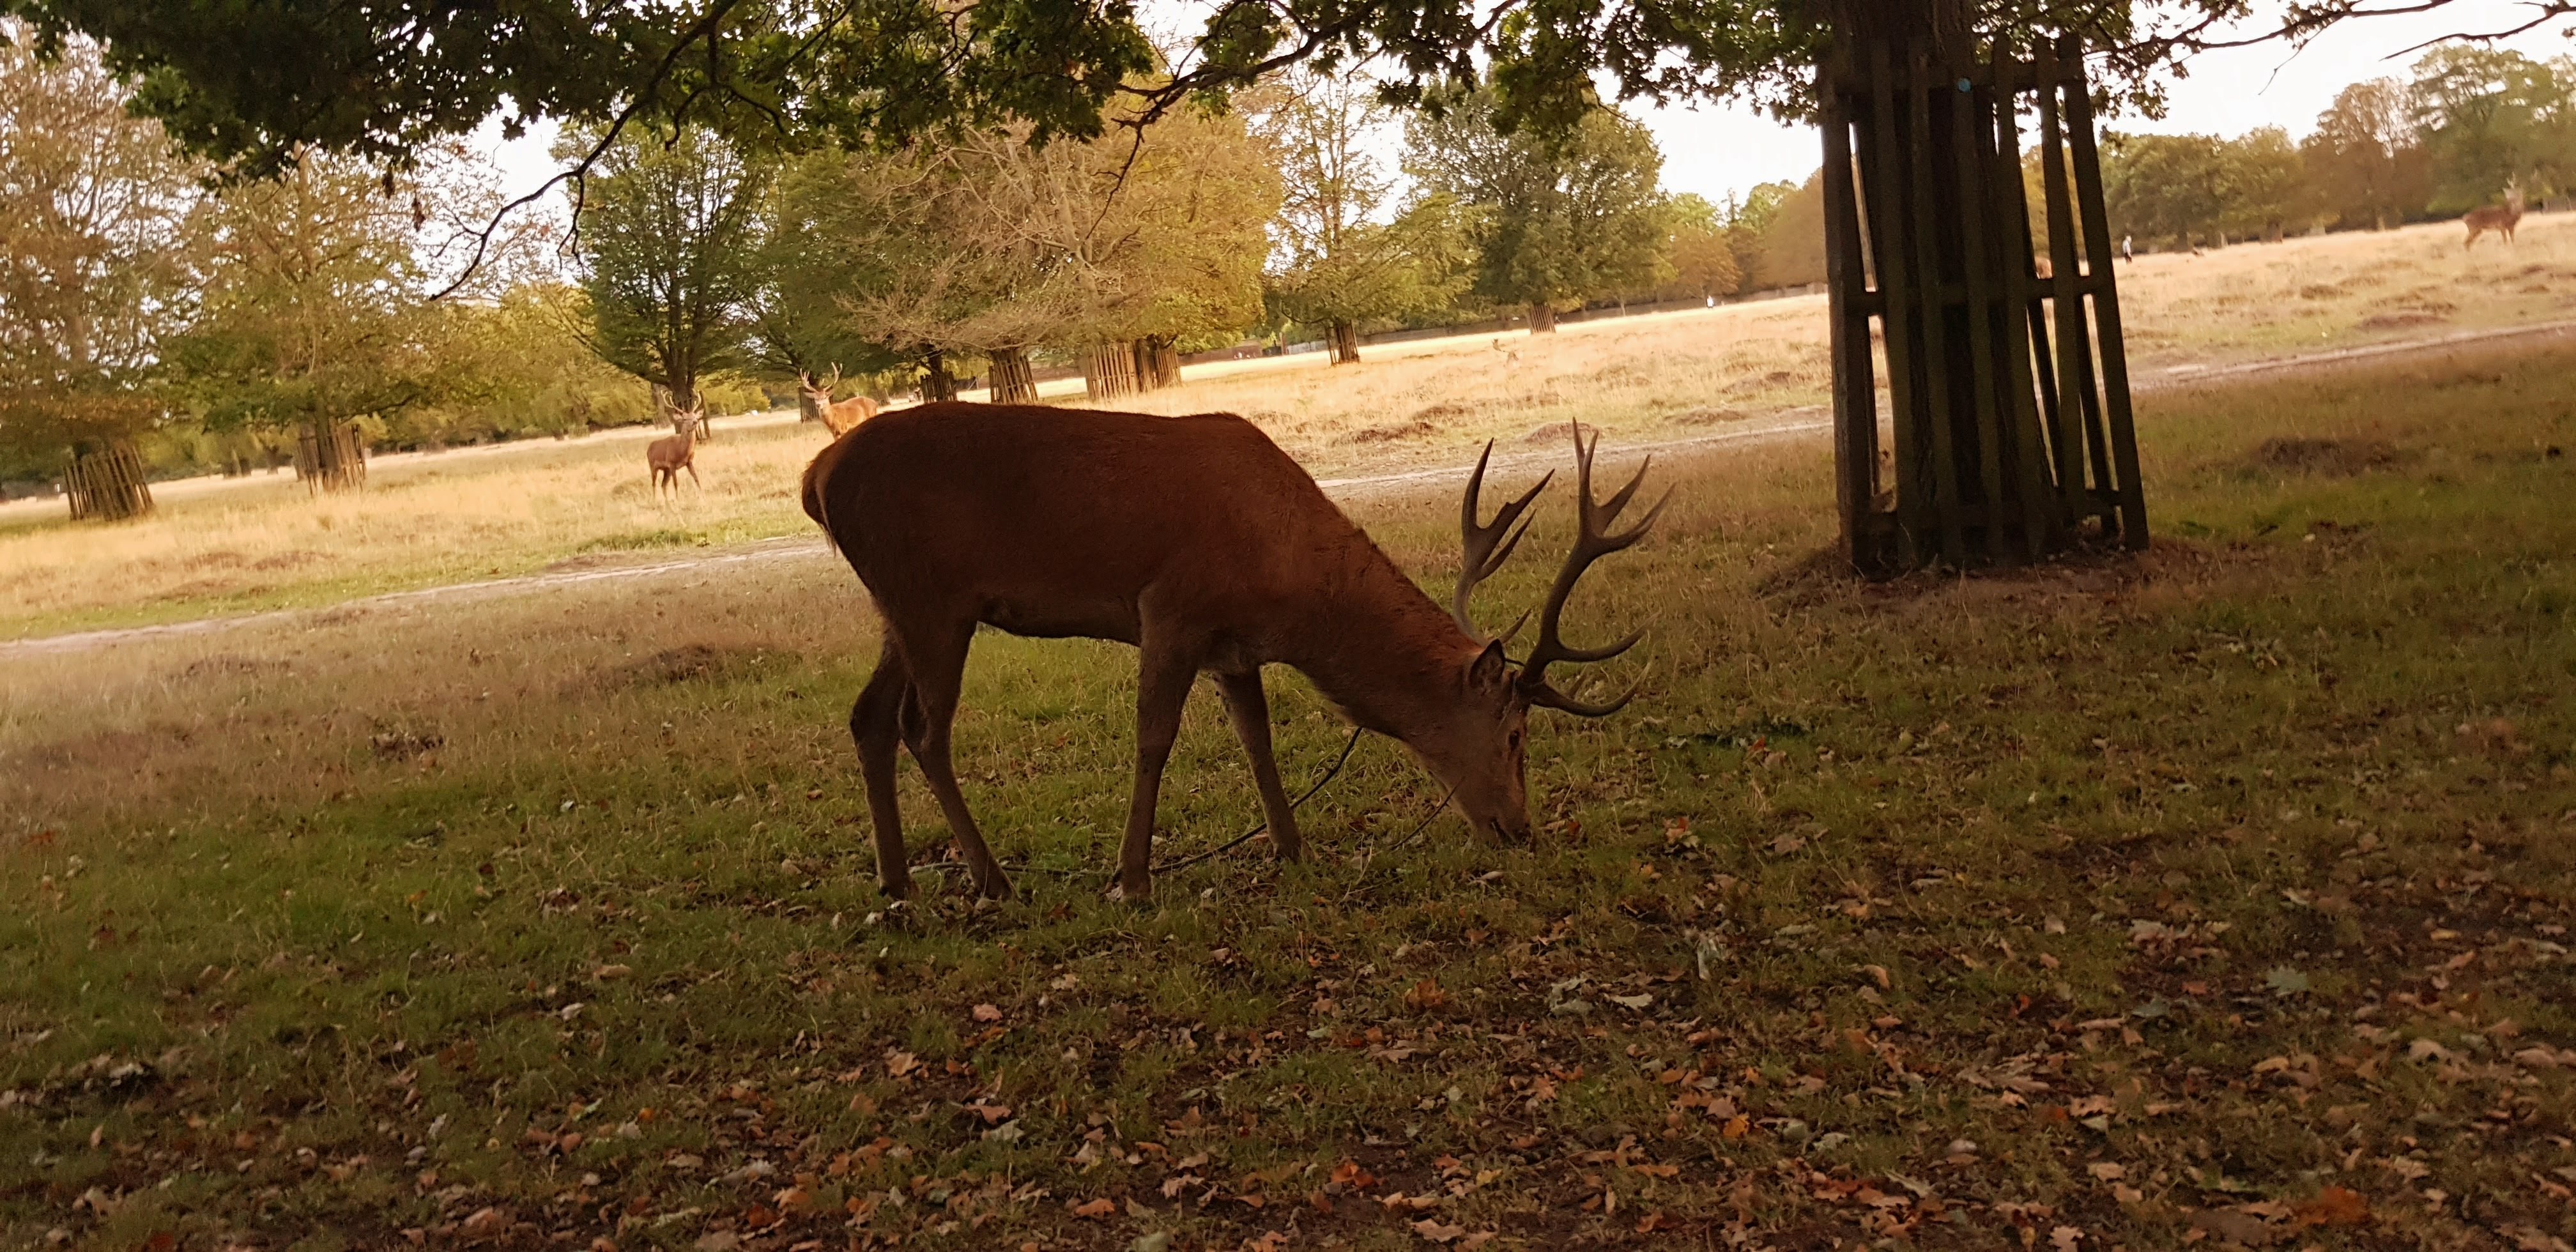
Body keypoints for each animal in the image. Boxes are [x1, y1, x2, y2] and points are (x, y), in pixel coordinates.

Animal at [646, 407, 705, 496]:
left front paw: (702, 494)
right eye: (684, 419)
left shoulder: (689, 462)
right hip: (652, 466)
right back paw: (655, 499)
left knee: (663, 485)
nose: (695, 422)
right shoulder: (672, 464)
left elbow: (696, 479)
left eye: (696, 417)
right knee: (654, 484)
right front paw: (678, 498)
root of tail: (649, 448)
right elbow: (676, 484)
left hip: (666, 470)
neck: (682, 451)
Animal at [800, 404, 1661, 904]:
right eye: (1516, 734)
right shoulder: (1171, 608)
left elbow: (1258, 741)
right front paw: (1134, 879)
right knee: (923, 730)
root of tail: (816, 476)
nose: (1521, 829)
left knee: (867, 719)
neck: (1292, 591)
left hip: (900, 609)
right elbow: (1154, 741)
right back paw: (993, 879)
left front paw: (1292, 849)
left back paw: (897, 884)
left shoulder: (1233, 649)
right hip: (929, 599)